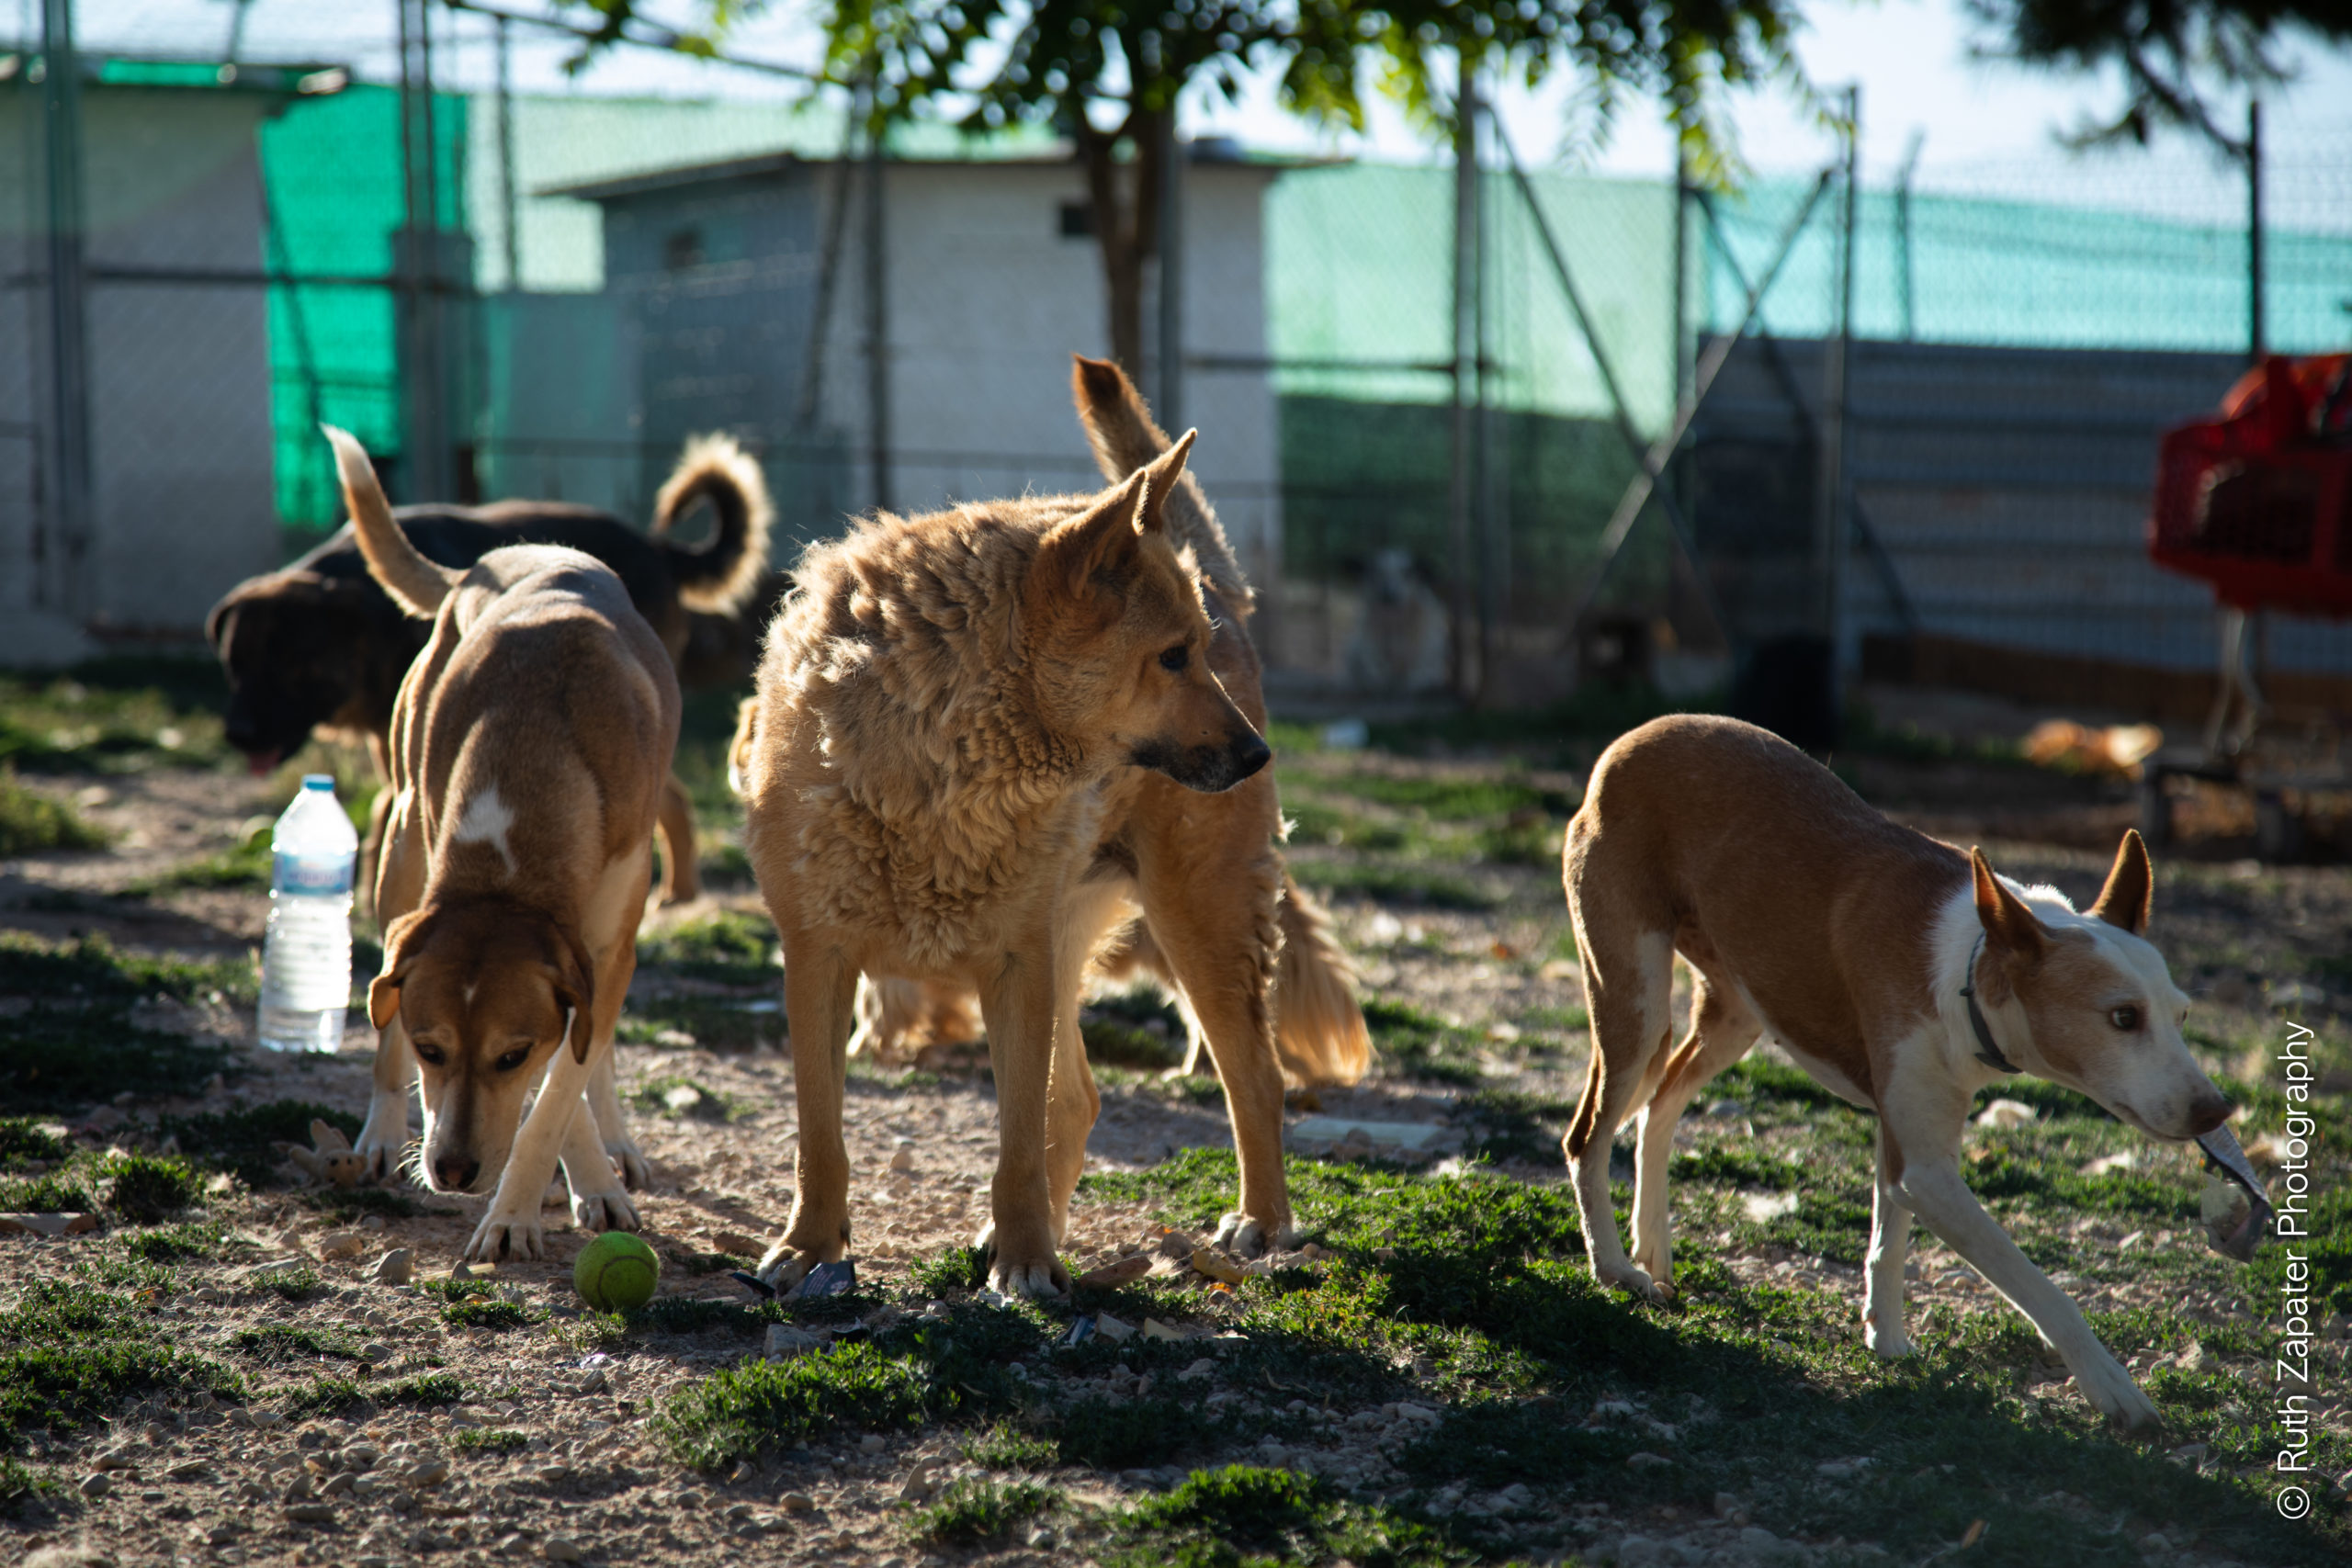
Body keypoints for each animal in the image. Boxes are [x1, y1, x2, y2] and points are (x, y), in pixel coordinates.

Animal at [320, 425, 682, 1259]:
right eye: (432, 1048)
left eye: (508, 1054)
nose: (451, 1170)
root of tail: (481, 564)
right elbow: (555, 1078)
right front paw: (551, 1190)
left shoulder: (603, 946)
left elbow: (559, 1088)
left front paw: (531, 1205)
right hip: (399, 858)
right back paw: (381, 1135)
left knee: (596, 1053)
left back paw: (614, 1146)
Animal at [1571, 719, 2229, 1429]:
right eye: (2123, 1017)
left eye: (2181, 1015)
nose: (2215, 1110)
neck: (1970, 966)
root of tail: (1632, 738)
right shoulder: (1928, 1169)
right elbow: (2038, 1284)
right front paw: (2114, 1386)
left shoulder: (1905, 1138)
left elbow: (1888, 1242)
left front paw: (1885, 1340)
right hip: (1634, 1004)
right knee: (1588, 1137)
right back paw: (1614, 1268)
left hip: (1736, 1014)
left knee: (1657, 1107)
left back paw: (1652, 1246)